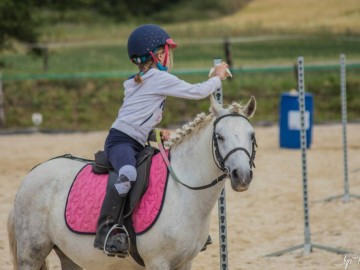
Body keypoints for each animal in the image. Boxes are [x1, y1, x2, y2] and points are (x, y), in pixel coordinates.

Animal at [7, 96, 256, 270]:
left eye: (251, 135)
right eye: (220, 136)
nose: (241, 176)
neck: (183, 192)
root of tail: (33, 173)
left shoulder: (186, 262)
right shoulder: (158, 262)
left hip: (68, 254)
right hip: (32, 253)